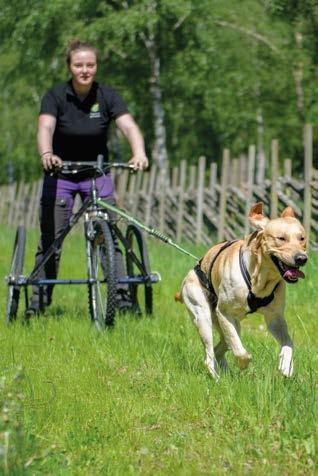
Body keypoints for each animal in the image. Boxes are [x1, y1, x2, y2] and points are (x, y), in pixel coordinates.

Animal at [175, 203, 306, 382]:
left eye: (302, 238)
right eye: (281, 238)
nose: (302, 258)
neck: (260, 279)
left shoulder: (275, 318)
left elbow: (288, 343)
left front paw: (286, 365)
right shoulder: (224, 313)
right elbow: (240, 351)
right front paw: (244, 363)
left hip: (230, 324)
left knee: (219, 349)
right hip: (203, 316)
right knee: (210, 354)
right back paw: (217, 378)